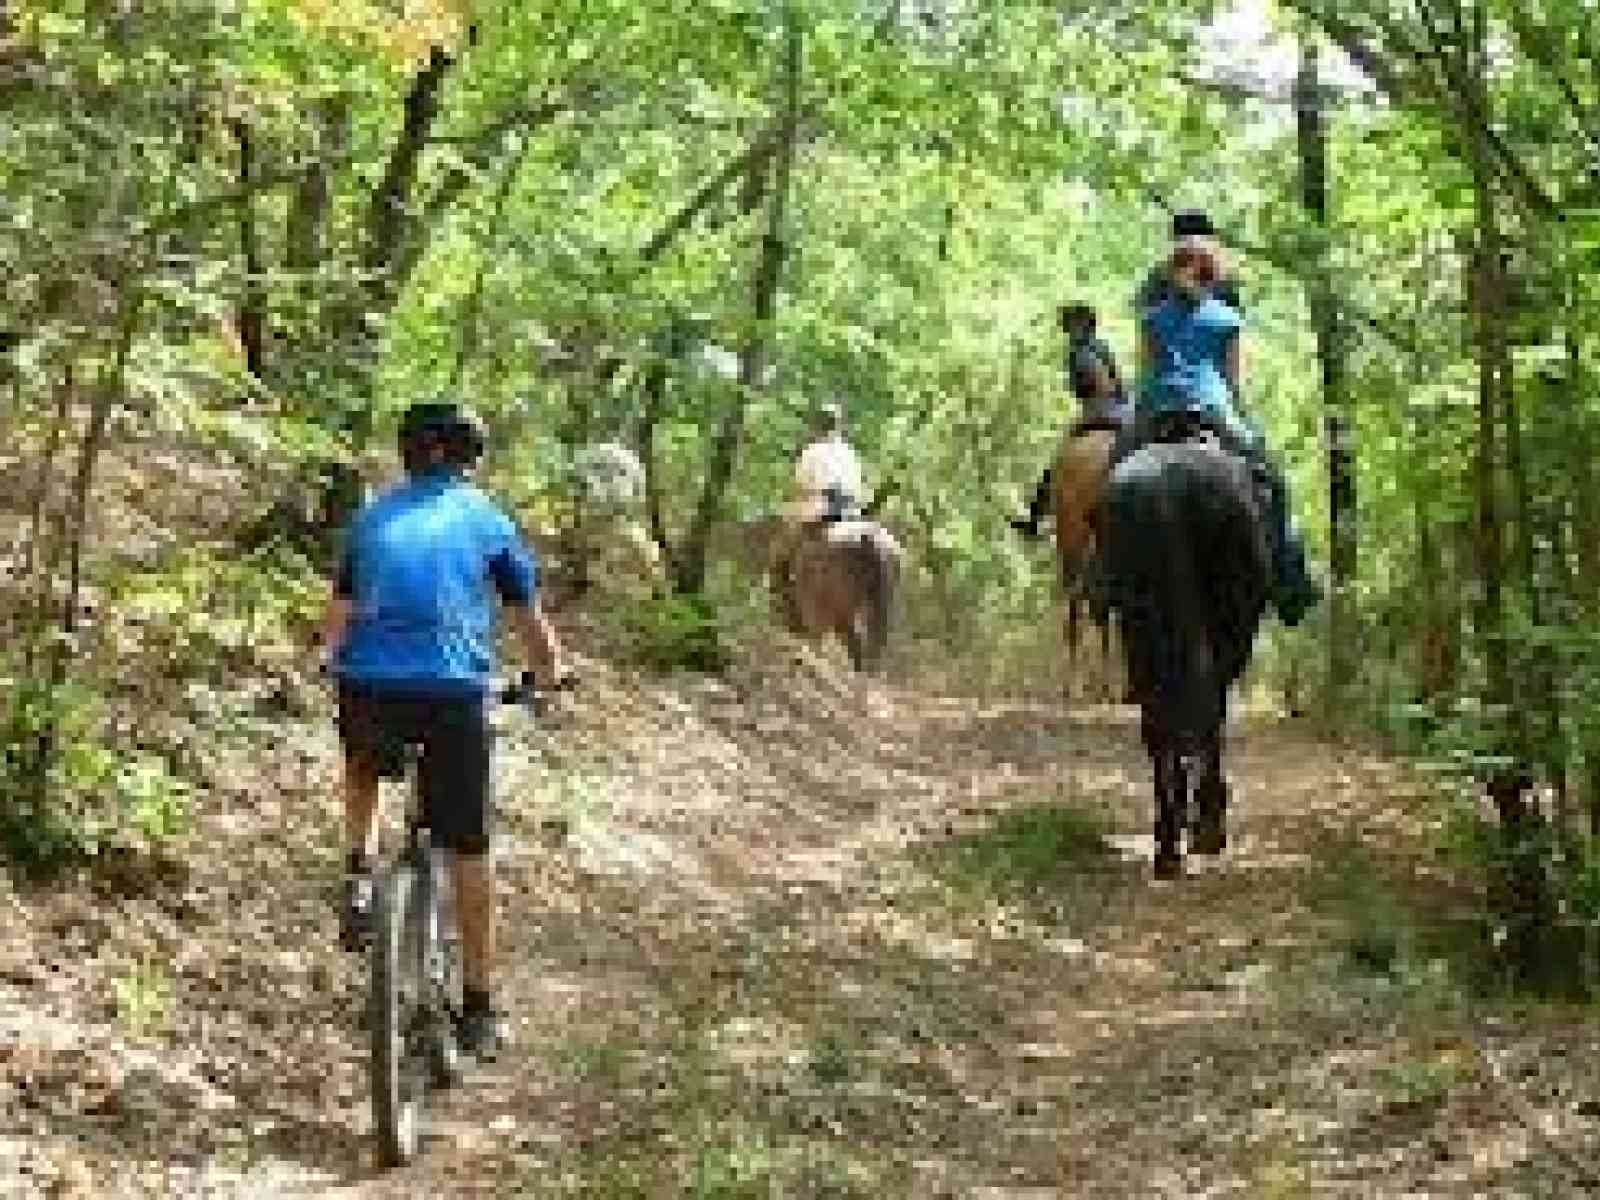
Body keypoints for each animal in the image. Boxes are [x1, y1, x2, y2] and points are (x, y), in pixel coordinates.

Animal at [1098, 413, 1271, 879]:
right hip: (1226, 624)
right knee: (1205, 709)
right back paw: (1204, 829)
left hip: (1139, 629)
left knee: (1159, 721)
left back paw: (1167, 844)